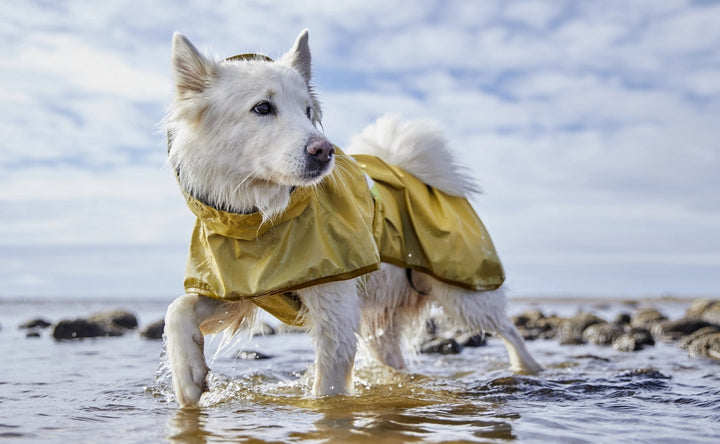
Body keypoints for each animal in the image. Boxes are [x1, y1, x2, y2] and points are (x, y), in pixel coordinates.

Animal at [163, 29, 544, 408]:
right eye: (263, 108)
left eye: (308, 111)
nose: (324, 150)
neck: (261, 221)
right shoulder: (239, 290)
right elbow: (177, 309)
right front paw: (189, 377)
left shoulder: (336, 309)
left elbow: (327, 388)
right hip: (385, 320)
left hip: (465, 293)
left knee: (510, 330)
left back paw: (528, 369)